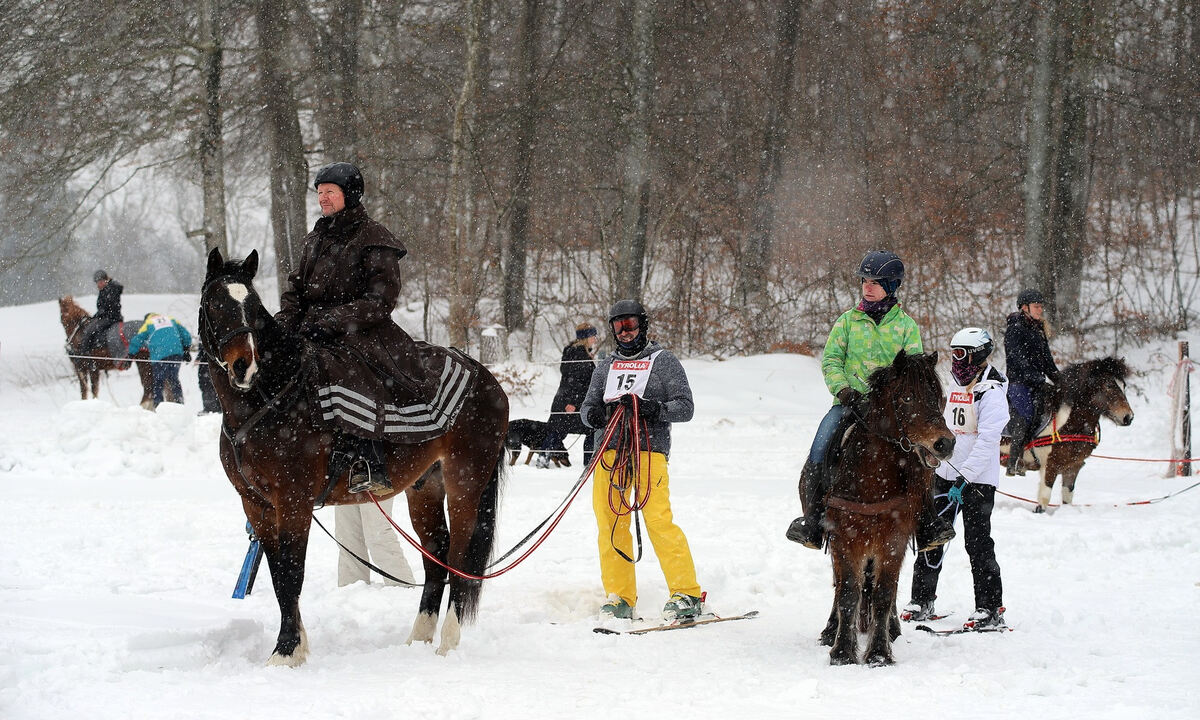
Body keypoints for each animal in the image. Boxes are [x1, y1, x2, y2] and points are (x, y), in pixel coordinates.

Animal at [199, 250, 508, 667]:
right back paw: (418, 637)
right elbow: (279, 576)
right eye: (216, 304)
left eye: (253, 306)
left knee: (458, 556)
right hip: (425, 487)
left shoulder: (293, 502)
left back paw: (448, 641)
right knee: (436, 555)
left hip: (465, 483)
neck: (272, 397)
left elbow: (292, 573)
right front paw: (295, 647)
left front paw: (285, 652)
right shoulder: (256, 505)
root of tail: (487, 378)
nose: (244, 365)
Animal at [806, 350, 955, 667]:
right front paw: (842, 652)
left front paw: (878, 653)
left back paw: (893, 629)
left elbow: (884, 594)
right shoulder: (844, 538)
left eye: (938, 396)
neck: (873, 478)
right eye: (907, 397)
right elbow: (848, 592)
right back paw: (830, 630)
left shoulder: (893, 540)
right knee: (840, 586)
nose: (945, 443)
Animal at [1003, 355, 1132, 511]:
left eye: (1124, 385)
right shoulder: (1049, 466)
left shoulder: (1073, 467)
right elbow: (1044, 501)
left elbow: (1067, 497)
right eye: (1108, 385)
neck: (1066, 421)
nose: (1128, 417)